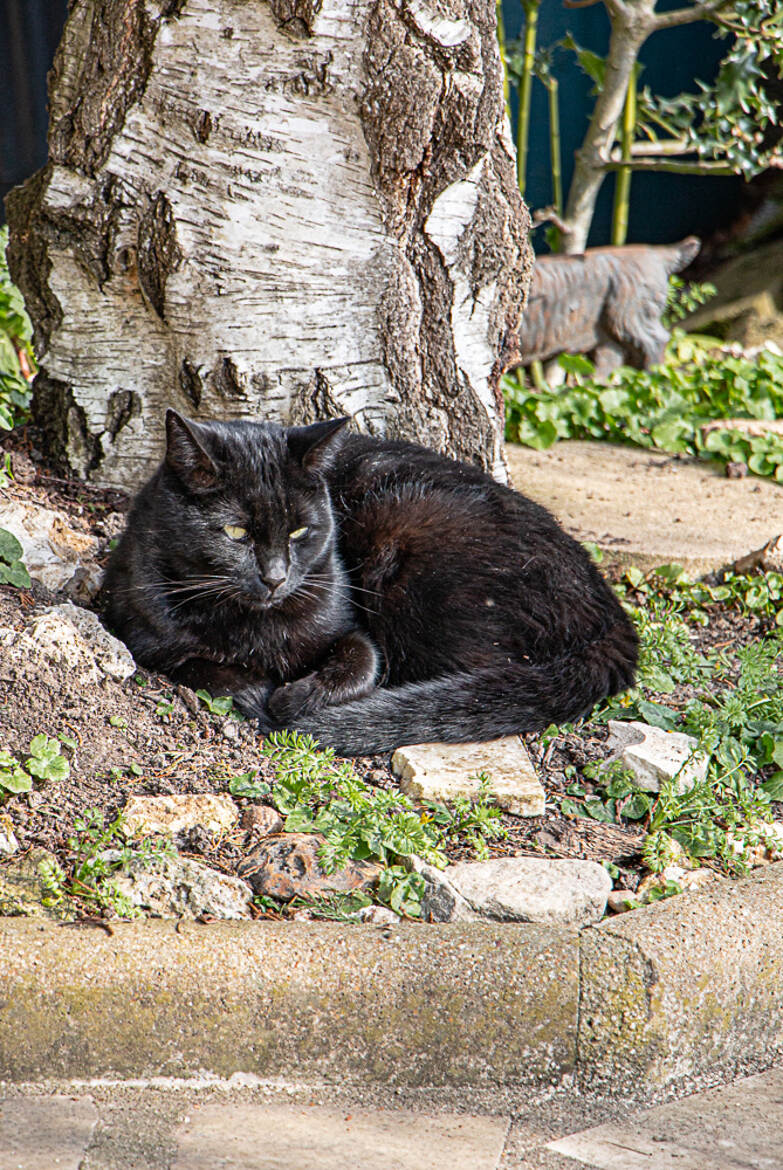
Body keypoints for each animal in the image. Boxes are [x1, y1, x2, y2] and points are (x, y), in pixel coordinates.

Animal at [103, 411, 636, 758]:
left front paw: (297, 701)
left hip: (406, 537)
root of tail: (611, 614)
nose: (275, 577)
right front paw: (259, 692)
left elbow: (362, 660)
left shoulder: (350, 626)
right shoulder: (141, 631)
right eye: (236, 532)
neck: (255, 626)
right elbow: (207, 665)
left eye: (299, 532)